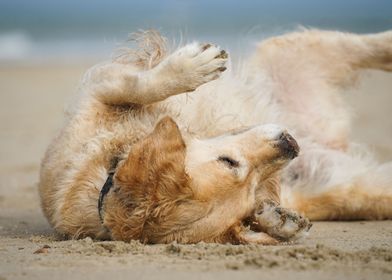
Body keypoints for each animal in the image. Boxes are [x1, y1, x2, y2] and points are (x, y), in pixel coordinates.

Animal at [39, 27, 392, 243]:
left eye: (227, 160)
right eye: (248, 187)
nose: (291, 144)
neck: (107, 173)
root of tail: (326, 140)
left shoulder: (99, 86)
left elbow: (138, 84)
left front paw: (192, 68)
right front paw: (277, 221)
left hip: (298, 54)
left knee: (372, 46)